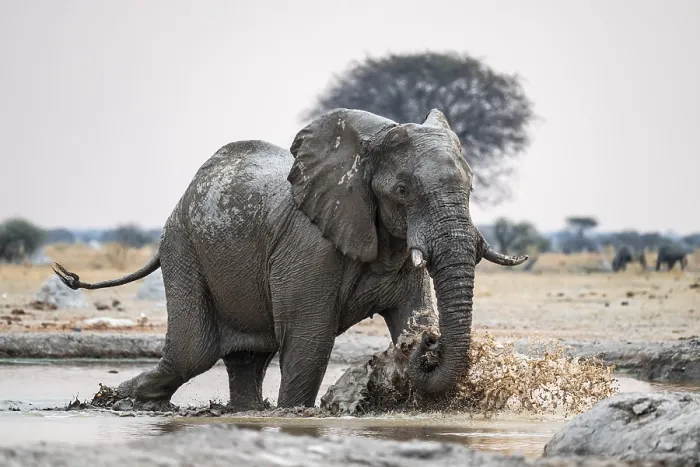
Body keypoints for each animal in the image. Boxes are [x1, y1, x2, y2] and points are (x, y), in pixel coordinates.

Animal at [53, 108, 527, 411]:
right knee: (193, 354)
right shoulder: (308, 245)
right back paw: (114, 401)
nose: (430, 343)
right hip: (183, 248)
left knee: (245, 358)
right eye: (403, 190)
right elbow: (309, 342)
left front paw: (417, 334)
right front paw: (295, 414)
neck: (368, 144)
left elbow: (411, 312)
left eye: (470, 188)